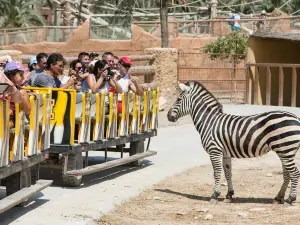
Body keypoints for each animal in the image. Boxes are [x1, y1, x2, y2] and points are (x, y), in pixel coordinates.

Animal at [168, 80, 300, 204]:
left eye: (178, 99)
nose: (168, 116)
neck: (209, 121)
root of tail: (296, 118)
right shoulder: (225, 153)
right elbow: (228, 173)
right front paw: (229, 195)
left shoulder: (214, 150)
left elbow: (217, 173)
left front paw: (215, 195)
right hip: (286, 151)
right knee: (287, 174)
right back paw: (279, 198)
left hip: (285, 150)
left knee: (294, 173)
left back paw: (290, 199)